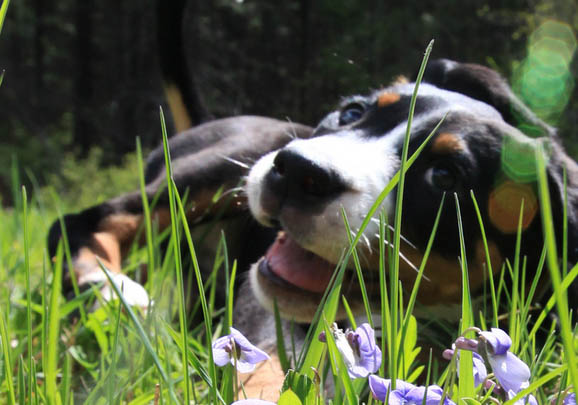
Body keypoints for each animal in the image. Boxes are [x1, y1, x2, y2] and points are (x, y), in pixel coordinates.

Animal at [48, 59, 576, 398]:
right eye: (352, 112)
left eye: (445, 177)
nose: (300, 170)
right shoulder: (263, 307)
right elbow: (267, 360)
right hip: (227, 163)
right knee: (85, 220)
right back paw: (109, 287)